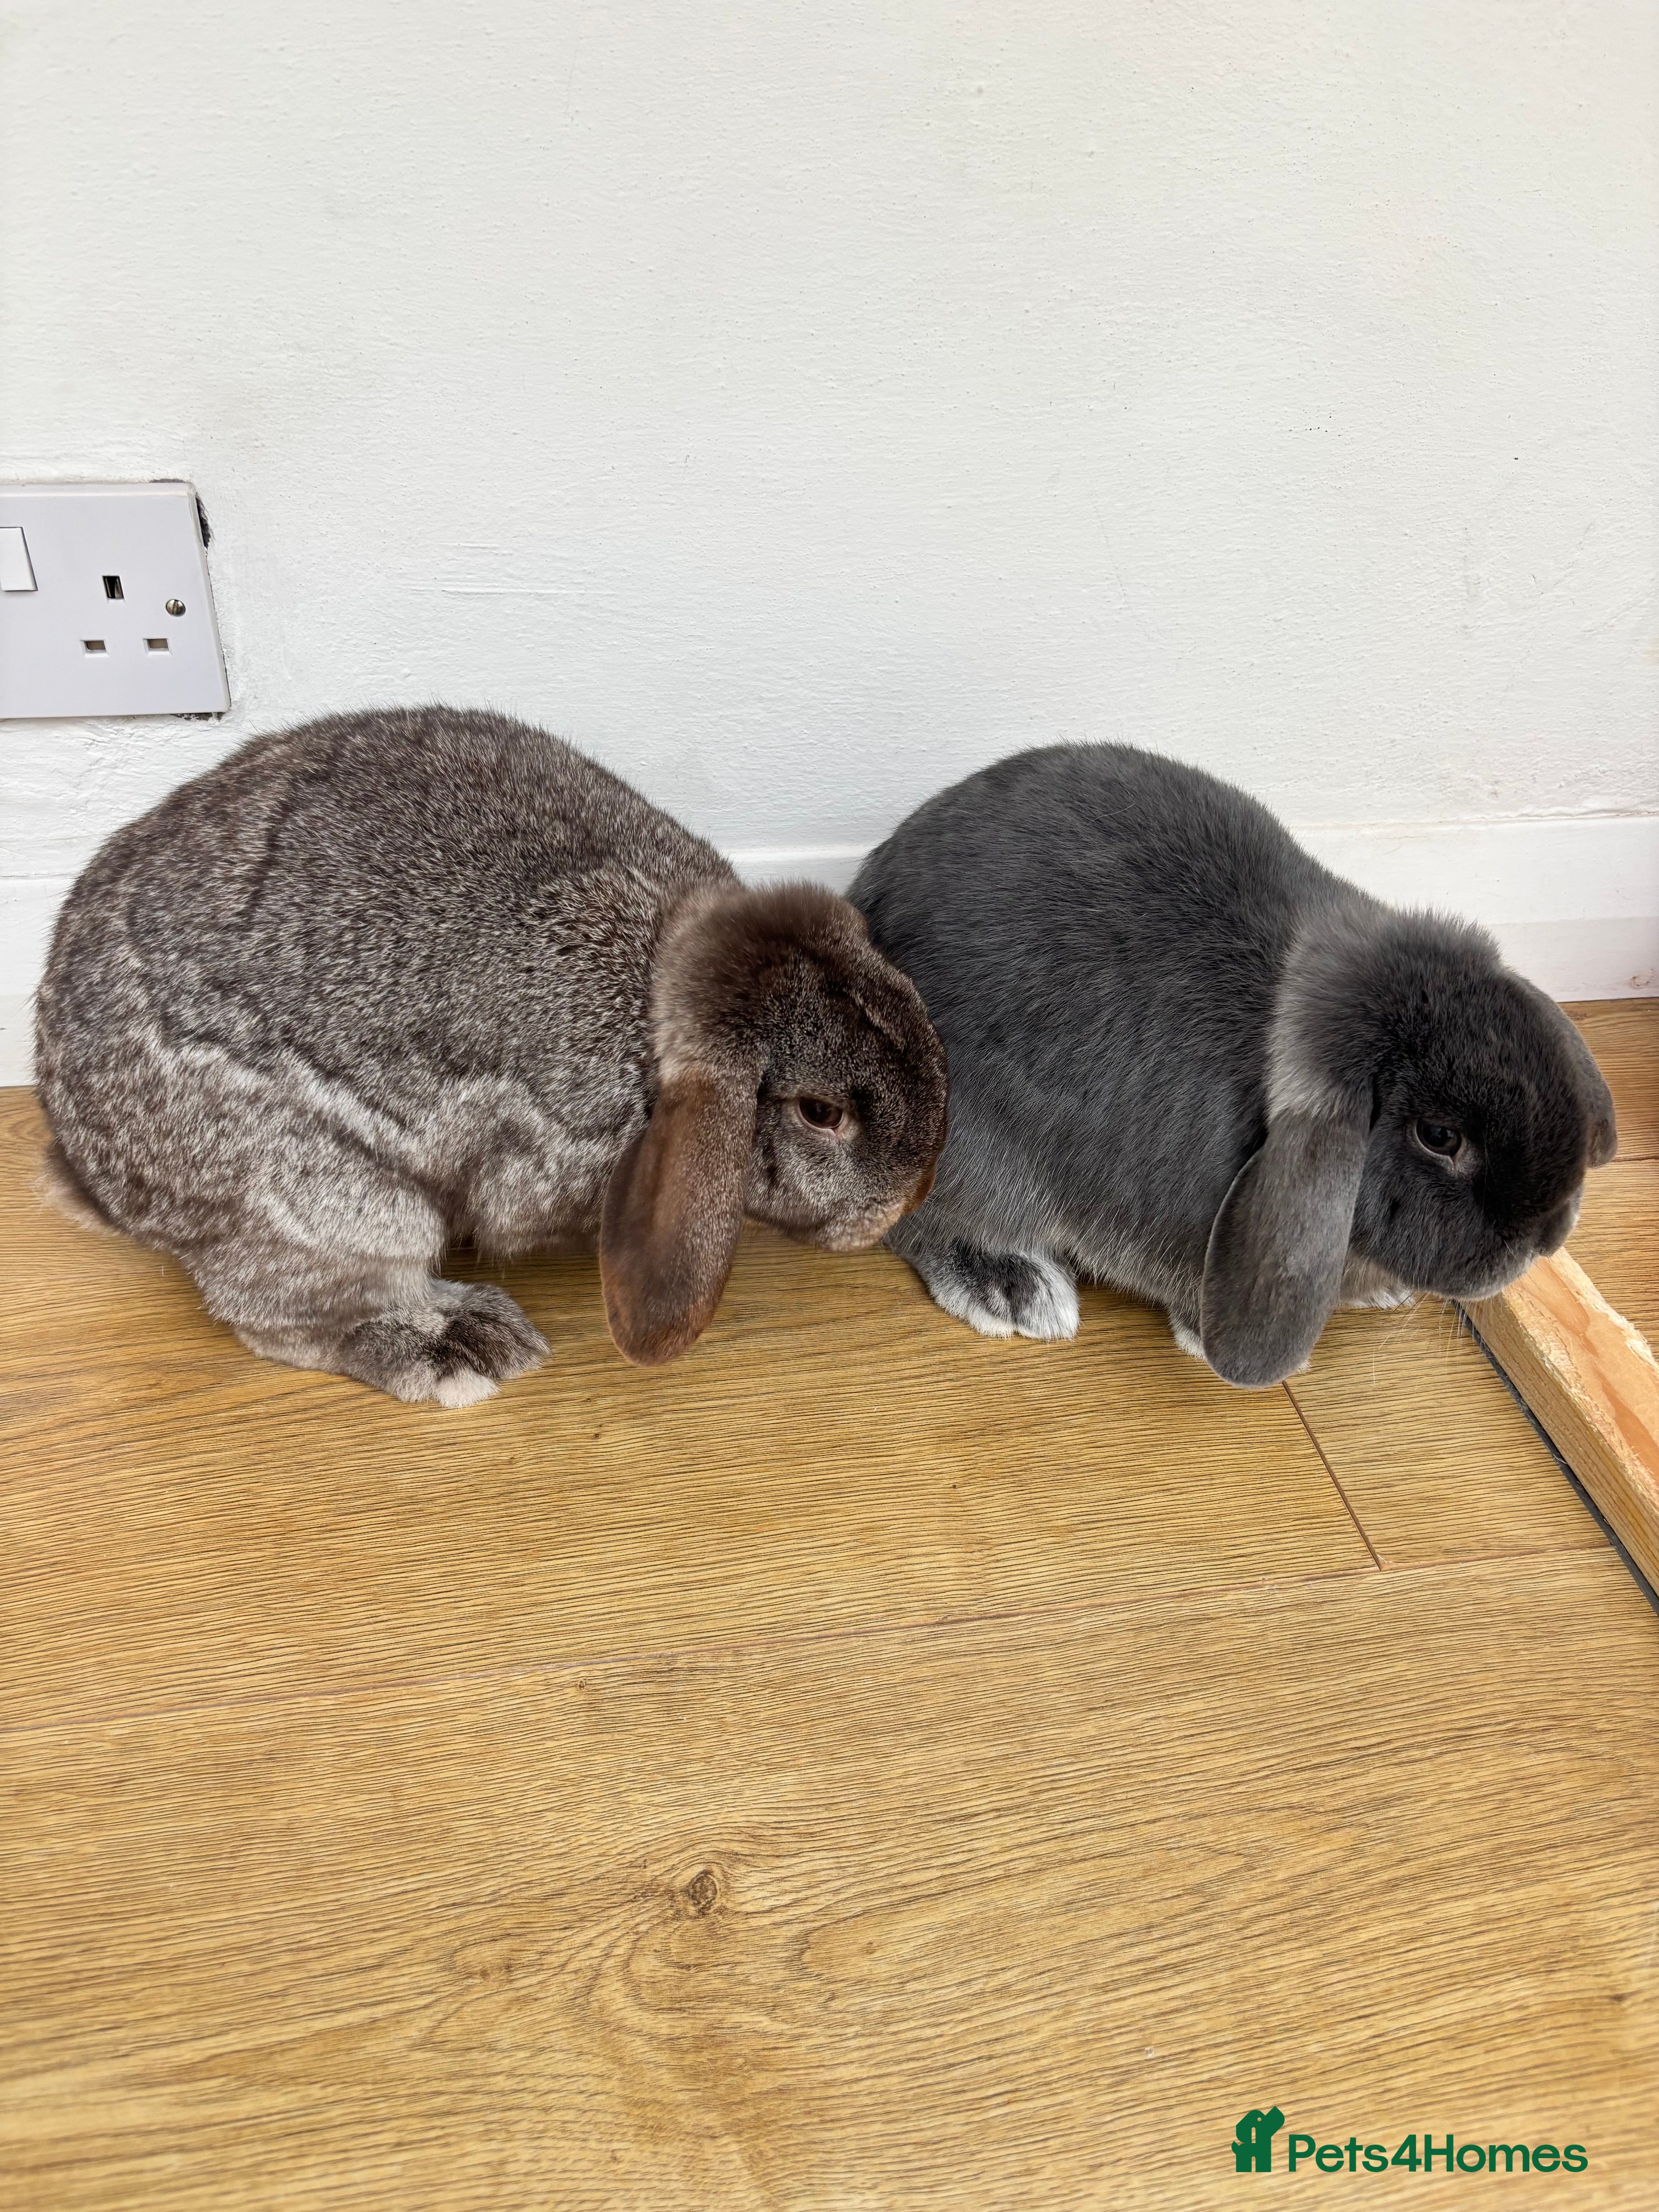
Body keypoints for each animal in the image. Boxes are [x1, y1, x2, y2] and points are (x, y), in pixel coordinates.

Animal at [35, 705, 948, 1405]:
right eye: (822, 1113)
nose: (912, 1194)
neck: (659, 989)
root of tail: (98, 1173)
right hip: (337, 1209)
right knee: (285, 1315)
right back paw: (458, 1347)